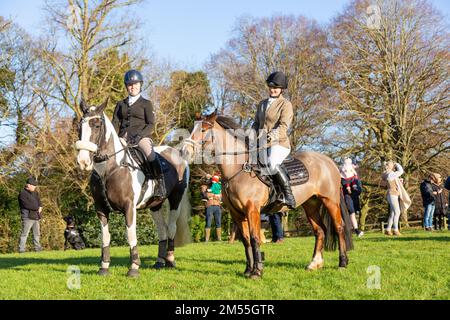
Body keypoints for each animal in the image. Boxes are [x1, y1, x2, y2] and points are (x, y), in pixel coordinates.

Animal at [75, 100, 190, 278]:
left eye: (97, 125)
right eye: (80, 126)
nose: (83, 161)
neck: (110, 169)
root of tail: (177, 153)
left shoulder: (129, 207)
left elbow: (130, 235)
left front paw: (134, 268)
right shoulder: (100, 209)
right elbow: (105, 237)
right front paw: (104, 267)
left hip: (176, 199)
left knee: (171, 228)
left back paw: (170, 261)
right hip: (154, 205)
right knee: (162, 230)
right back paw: (159, 262)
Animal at [181, 114, 354, 278]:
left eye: (203, 129)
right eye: (191, 129)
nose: (185, 151)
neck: (238, 168)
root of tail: (328, 161)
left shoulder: (252, 210)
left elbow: (254, 238)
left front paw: (257, 272)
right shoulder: (237, 213)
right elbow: (246, 240)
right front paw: (248, 270)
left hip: (330, 201)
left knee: (339, 227)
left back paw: (342, 263)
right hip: (310, 205)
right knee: (320, 231)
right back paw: (314, 263)